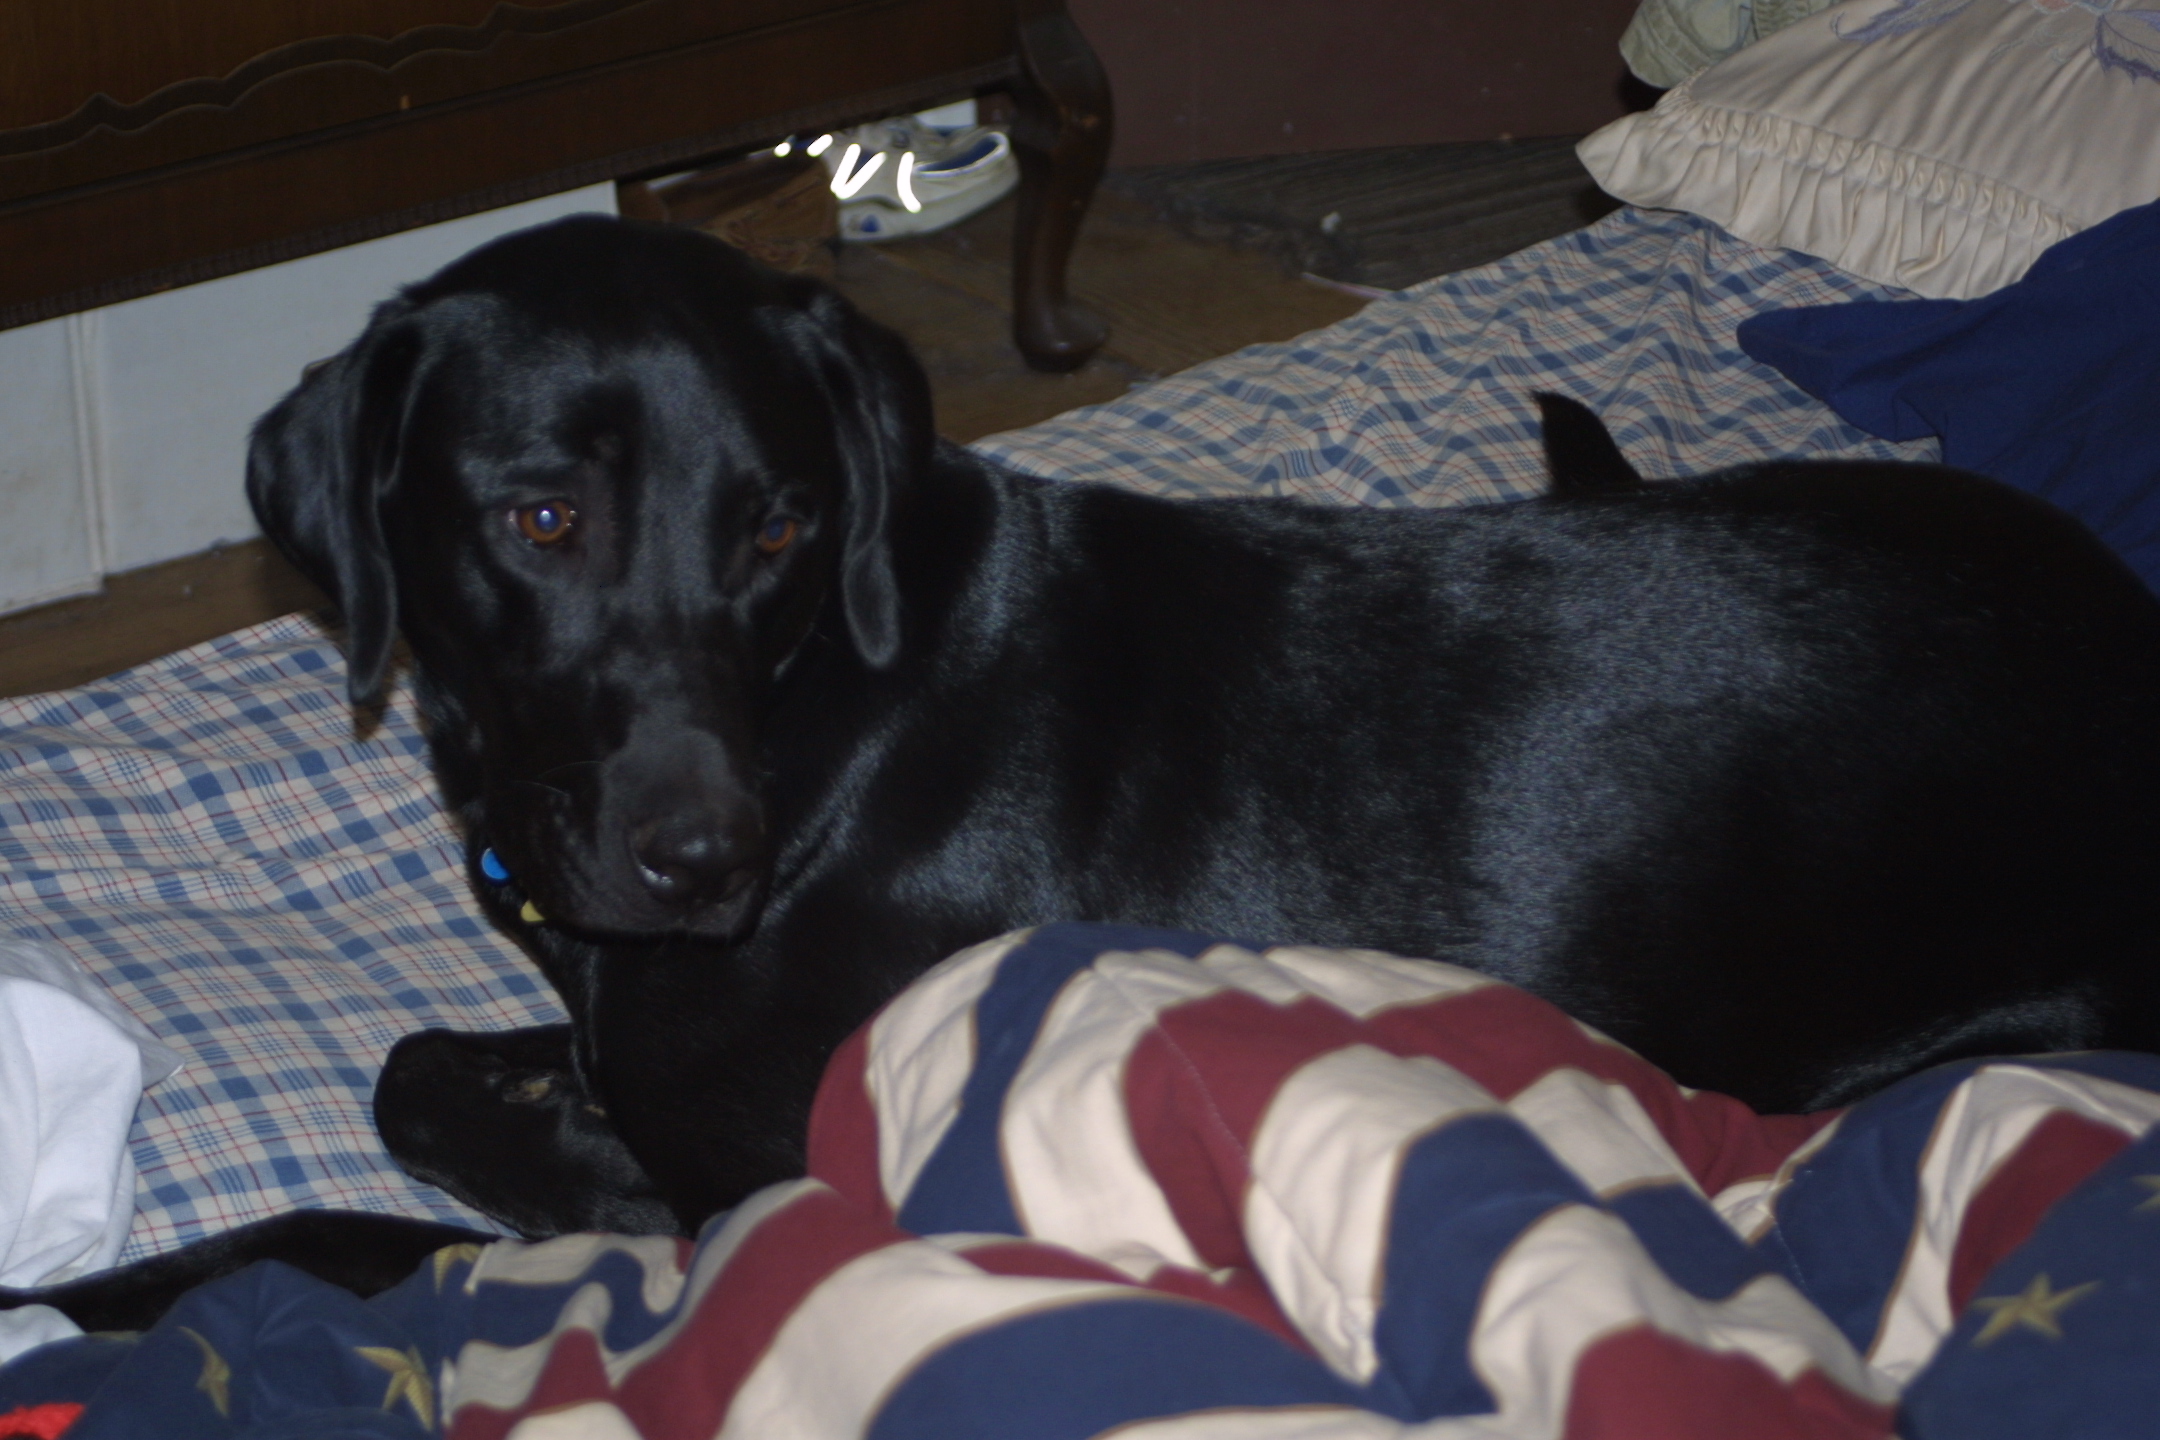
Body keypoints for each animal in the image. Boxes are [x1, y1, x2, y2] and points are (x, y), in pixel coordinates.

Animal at [11, 213, 2160, 1328]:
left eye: (781, 524)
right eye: (541, 518)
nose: (705, 864)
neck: (824, 719)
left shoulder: (765, 1210)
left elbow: (388, 1227)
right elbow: (409, 1081)